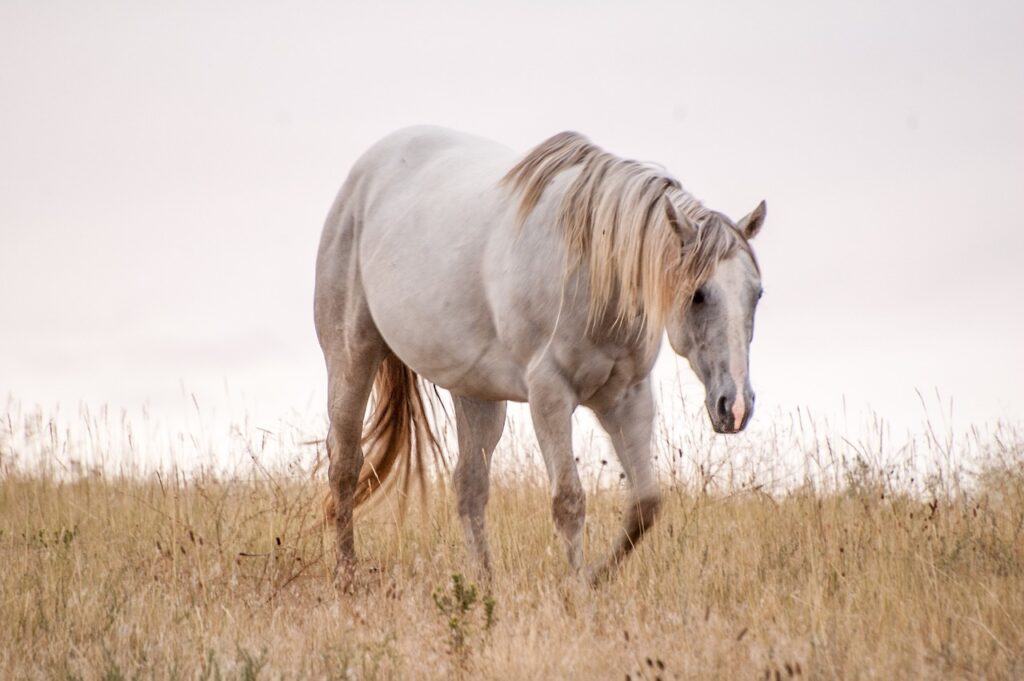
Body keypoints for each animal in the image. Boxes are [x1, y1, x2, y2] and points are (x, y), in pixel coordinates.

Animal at [315, 129, 765, 585]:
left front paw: (595, 577)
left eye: (757, 293)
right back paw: (347, 572)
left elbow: (645, 504)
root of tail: (366, 171)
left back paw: (485, 584)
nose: (735, 406)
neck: (592, 271)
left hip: (476, 393)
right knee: (345, 464)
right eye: (698, 294)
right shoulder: (550, 395)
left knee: (469, 487)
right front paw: (577, 588)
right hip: (352, 356)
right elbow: (569, 501)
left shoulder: (628, 397)